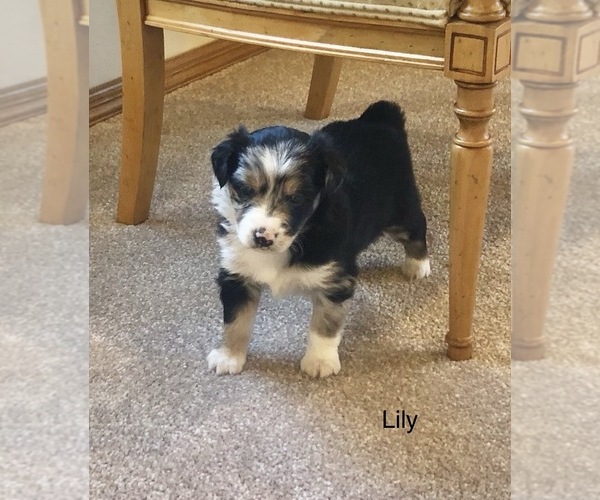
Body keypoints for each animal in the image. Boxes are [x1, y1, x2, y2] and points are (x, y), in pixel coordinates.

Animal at [209, 100, 428, 378]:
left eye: (296, 198)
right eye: (246, 189)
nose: (263, 237)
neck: (302, 233)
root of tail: (378, 119)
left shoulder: (333, 282)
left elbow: (325, 324)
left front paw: (320, 362)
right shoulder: (237, 274)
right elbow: (235, 320)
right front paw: (229, 357)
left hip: (400, 211)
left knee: (418, 227)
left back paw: (417, 265)